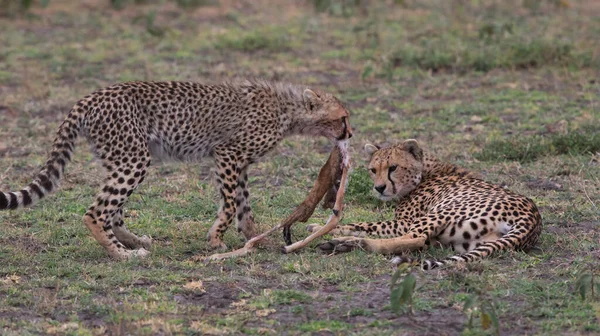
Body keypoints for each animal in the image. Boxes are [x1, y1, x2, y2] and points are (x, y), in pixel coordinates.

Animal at [0, 80, 354, 258]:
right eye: (343, 117)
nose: (350, 135)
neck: (289, 110)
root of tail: (89, 97)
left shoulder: (238, 164)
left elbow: (244, 206)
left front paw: (255, 238)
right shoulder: (226, 154)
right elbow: (230, 205)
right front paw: (215, 240)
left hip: (120, 158)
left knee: (112, 210)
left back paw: (135, 242)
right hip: (134, 159)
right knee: (96, 212)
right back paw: (122, 254)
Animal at [314, 139, 544, 270]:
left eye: (393, 167)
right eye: (373, 170)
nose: (379, 188)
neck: (425, 171)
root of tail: (533, 218)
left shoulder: (404, 222)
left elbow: (365, 224)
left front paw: (320, 228)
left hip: (443, 210)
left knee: (414, 240)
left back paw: (347, 242)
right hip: (457, 241)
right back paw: (345, 244)